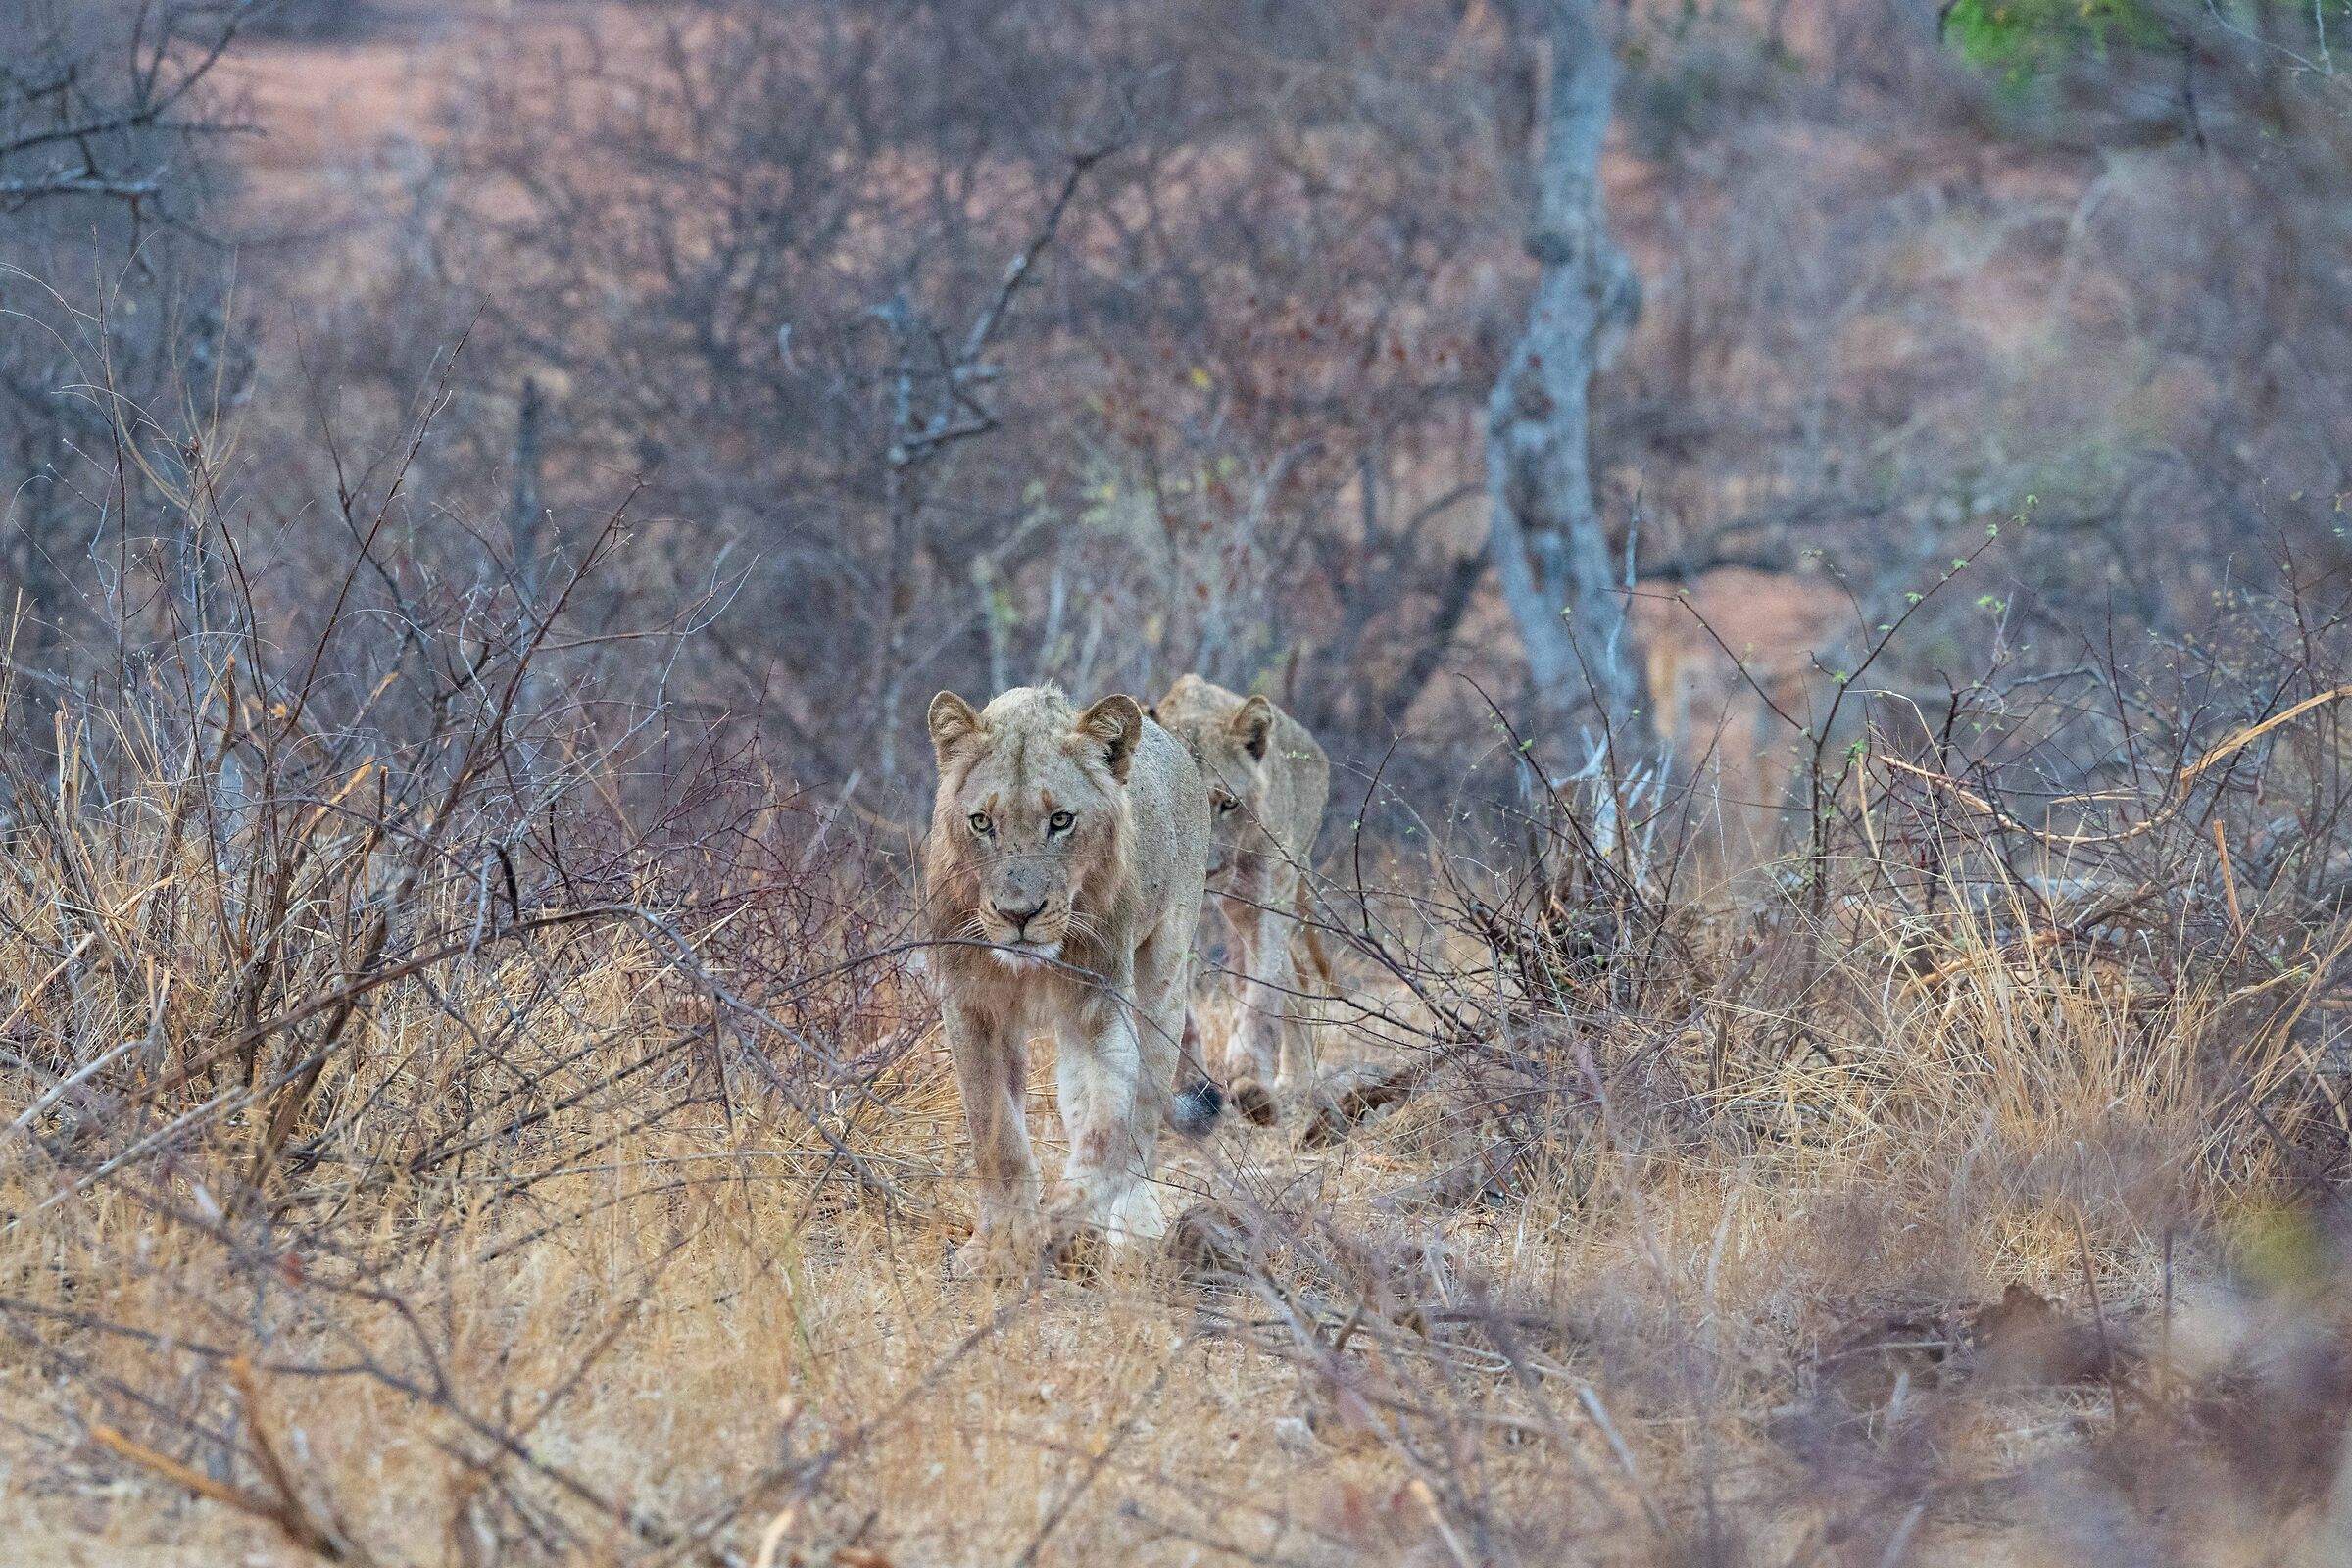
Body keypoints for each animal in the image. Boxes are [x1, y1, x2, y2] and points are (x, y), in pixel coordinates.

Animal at [923, 683, 1210, 1276]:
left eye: (1060, 820)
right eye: (981, 823)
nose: (1019, 914)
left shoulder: (1101, 1006)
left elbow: (1106, 1128)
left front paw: (1062, 1220)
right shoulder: (970, 1006)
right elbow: (996, 1135)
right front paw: (997, 1245)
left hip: (1164, 979)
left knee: (1143, 1115)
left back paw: (1133, 1232)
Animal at [1149, 674, 1331, 1125]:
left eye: (1227, 802)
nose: (1207, 869)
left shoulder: (1264, 897)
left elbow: (1262, 993)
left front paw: (1251, 1085)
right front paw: (1188, 1092)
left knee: (1289, 978)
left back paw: (1293, 1082)